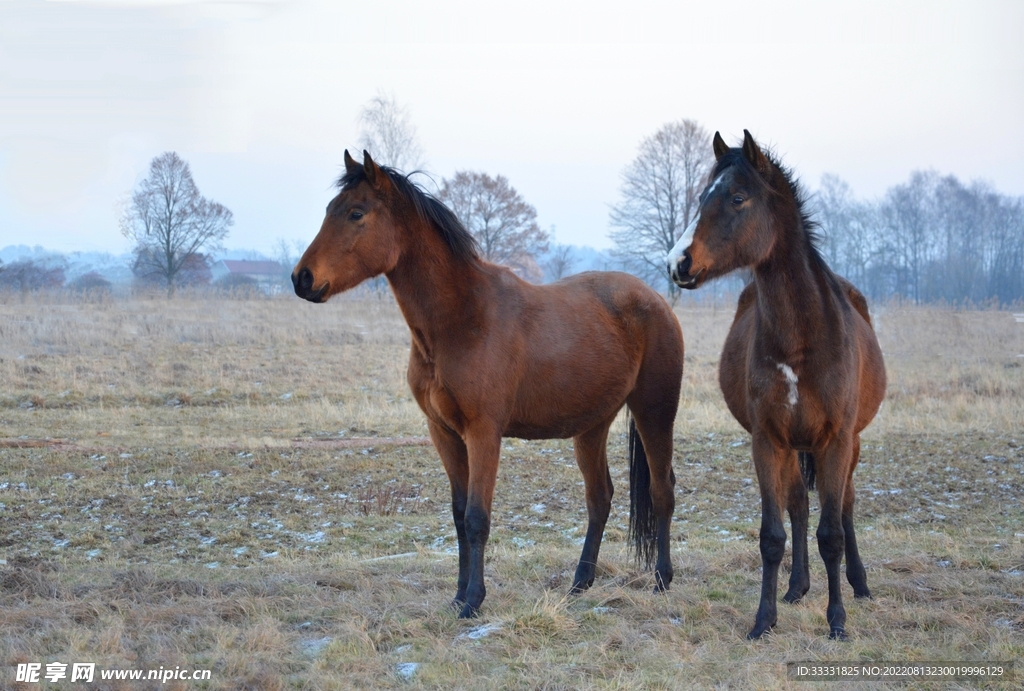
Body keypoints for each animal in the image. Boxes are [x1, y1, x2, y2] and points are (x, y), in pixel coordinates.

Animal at [293, 150, 684, 618]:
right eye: (329, 210)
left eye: (356, 213)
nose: (301, 279)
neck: (461, 319)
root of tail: (656, 301)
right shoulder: (444, 433)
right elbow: (459, 515)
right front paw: (458, 595)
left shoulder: (484, 433)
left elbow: (478, 517)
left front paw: (473, 602)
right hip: (592, 426)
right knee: (600, 498)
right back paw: (579, 583)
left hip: (654, 413)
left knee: (661, 492)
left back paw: (662, 579)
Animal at [667, 131, 886, 640]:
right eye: (702, 197)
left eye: (737, 197)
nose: (678, 262)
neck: (802, 340)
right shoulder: (768, 440)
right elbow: (773, 534)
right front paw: (763, 620)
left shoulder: (835, 441)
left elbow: (833, 534)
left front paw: (837, 622)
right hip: (792, 447)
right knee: (799, 506)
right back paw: (796, 587)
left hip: (849, 444)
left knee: (845, 507)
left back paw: (859, 585)